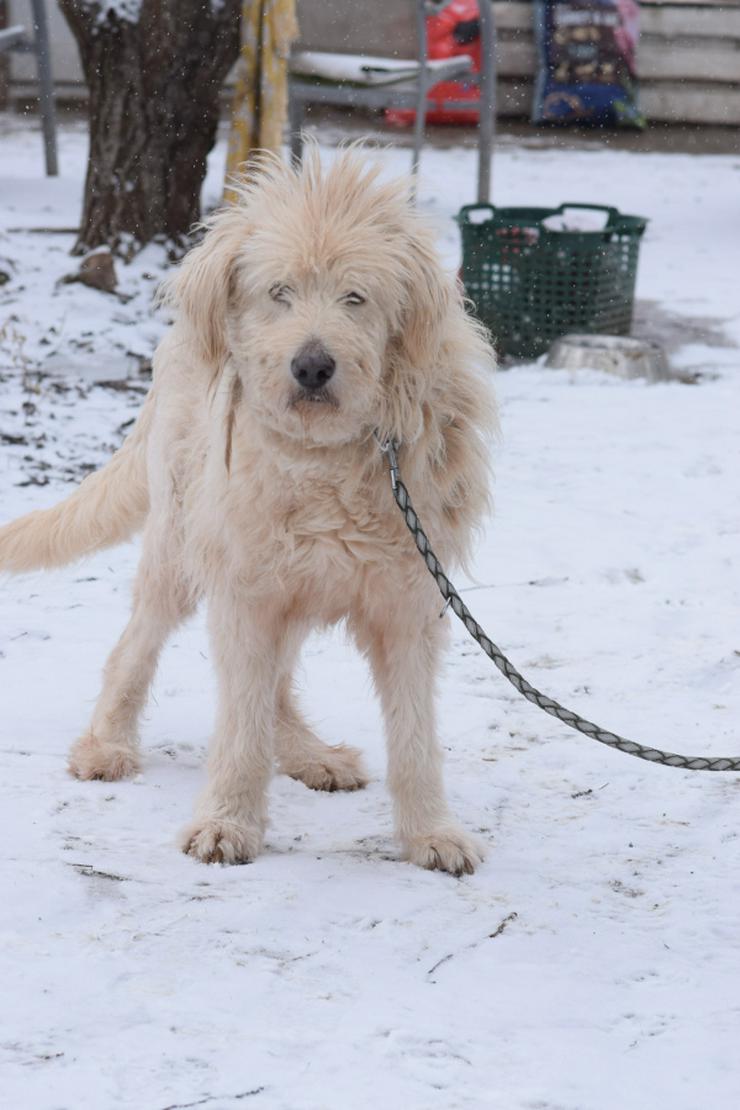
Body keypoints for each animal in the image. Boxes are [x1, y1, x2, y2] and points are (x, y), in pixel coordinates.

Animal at [1, 149, 497, 874]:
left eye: (355, 297)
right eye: (279, 293)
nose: (313, 367)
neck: (328, 457)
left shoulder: (406, 602)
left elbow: (414, 735)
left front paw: (431, 832)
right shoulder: (245, 587)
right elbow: (239, 724)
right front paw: (226, 822)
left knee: (277, 682)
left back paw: (308, 754)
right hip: (183, 549)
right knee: (137, 646)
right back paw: (107, 744)